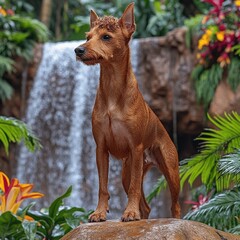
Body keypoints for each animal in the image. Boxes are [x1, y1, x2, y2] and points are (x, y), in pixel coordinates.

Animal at [74, 2, 180, 223]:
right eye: (88, 36)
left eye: (106, 37)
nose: (78, 50)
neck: (113, 89)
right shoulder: (101, 149)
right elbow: (103, 187)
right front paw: (99, 212)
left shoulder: (136, 147)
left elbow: (134, 189)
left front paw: (130, 212)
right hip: (128, 171)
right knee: (146, 206)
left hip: (170, 171)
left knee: (175, 204)